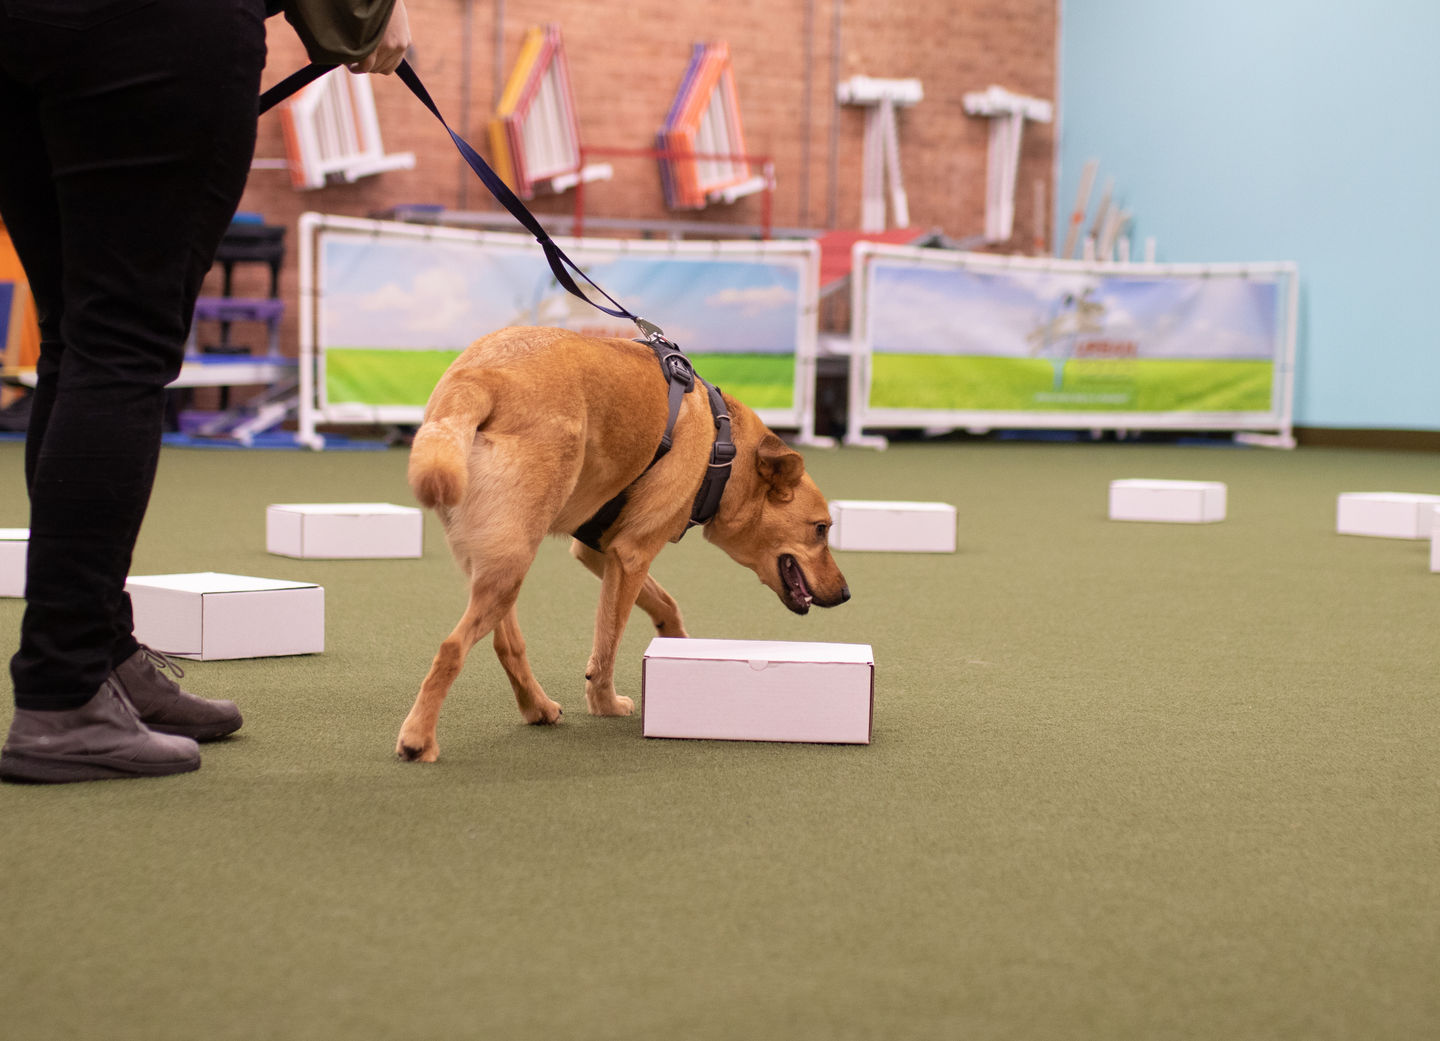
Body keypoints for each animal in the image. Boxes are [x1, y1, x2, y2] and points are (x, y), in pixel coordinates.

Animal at [394, 321, 846, 760]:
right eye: (821, 529)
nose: (846, 595)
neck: (723, 446)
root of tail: (481, 376)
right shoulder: (632, 554)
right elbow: (607, 647)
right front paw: (605, 704)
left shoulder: (602, 550)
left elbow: (665, 604)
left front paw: (680, 648)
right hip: (510, 564)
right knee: (451, 647)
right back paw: (418, 739)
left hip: (498, 562)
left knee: (506, 645)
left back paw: (537, 708)